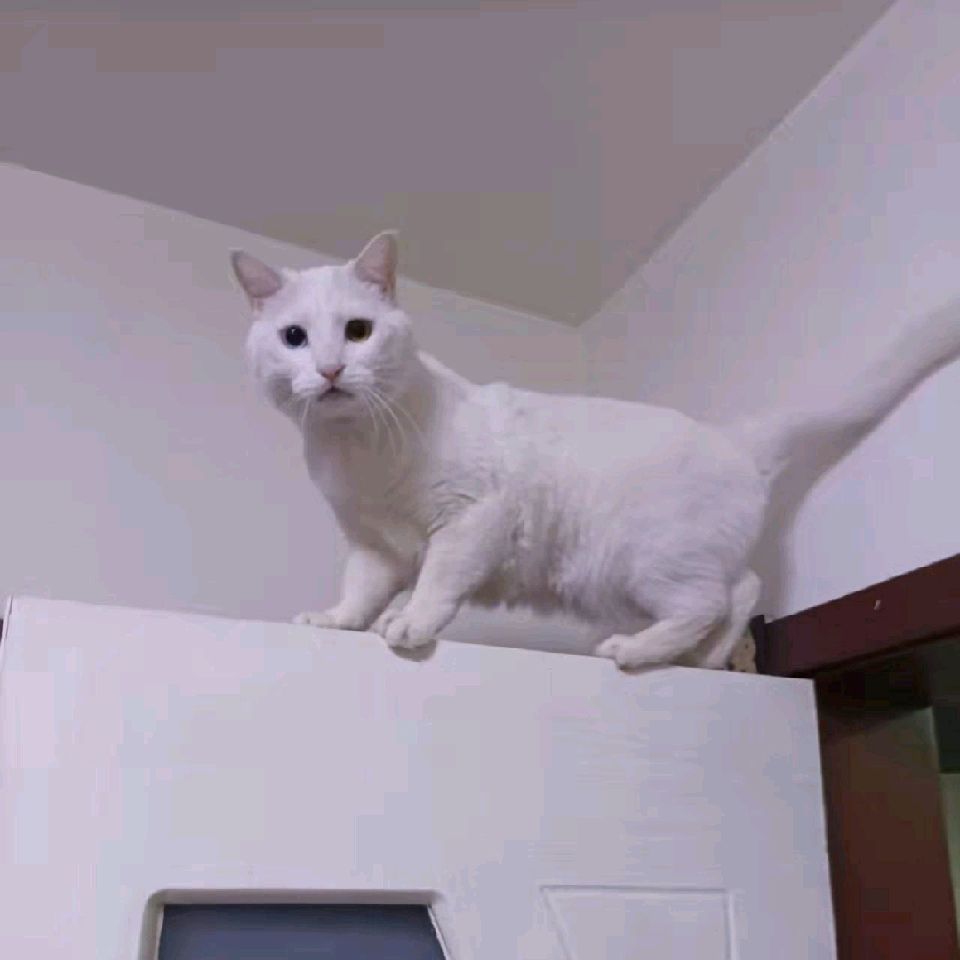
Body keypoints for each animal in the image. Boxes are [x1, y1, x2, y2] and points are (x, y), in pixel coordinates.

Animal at [233, 232, 960, 669]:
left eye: (358, 331)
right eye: (295, 337)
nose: (330, 369)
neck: (357, 449)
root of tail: (728, 435)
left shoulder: (473, 518)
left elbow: (437, 579)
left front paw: (409, 622)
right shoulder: (373, 546)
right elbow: (357, 591)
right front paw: (337, 620)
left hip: (651, 561)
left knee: (719, 596)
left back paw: (636, 653)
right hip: (620, 578)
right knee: (739, 591)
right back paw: (696, 661)